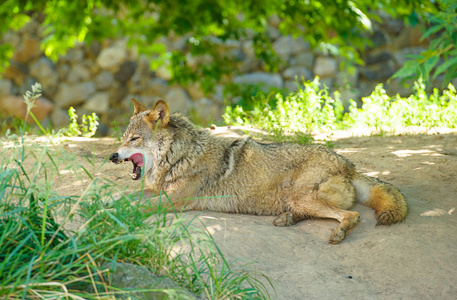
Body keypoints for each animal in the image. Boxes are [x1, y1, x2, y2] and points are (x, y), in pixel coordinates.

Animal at [109, 98, 406, 244]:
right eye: (123, 138)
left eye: (134, 139)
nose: (112, 156)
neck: (179, 156)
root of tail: (349, 165)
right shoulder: (155, 190)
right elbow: (121, 197)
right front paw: (104, 205)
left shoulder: (176, 199)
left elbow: (135, 206)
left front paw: (113, 215)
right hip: (297, 199)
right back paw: (287, 219)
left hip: (301, 196)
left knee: (351, 215)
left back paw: (337, 233)